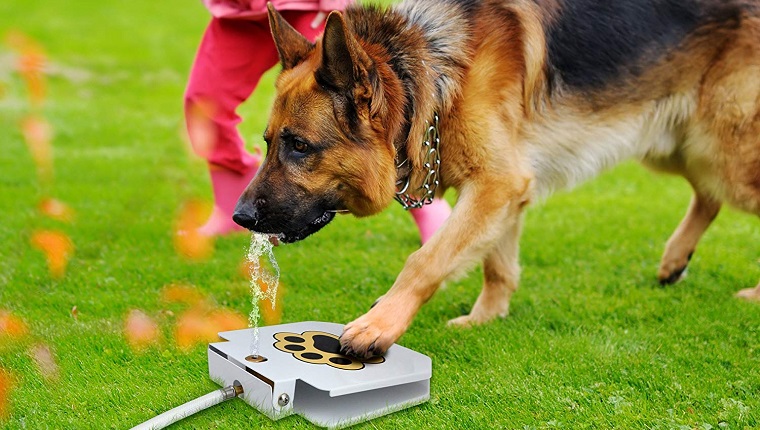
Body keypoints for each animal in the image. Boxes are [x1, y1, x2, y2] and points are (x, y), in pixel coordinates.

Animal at [235, 0, 760, 356]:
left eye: (300, 146)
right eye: (268, 141)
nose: (239, 217)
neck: (433, 73)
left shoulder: (498, 184)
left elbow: (426, 260)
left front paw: (378, 325)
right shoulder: (503, 191)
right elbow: (496, 264)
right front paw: (486, 317)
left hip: (721, 151)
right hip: (680, 147)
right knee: (708, 196)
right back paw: (675, 259)